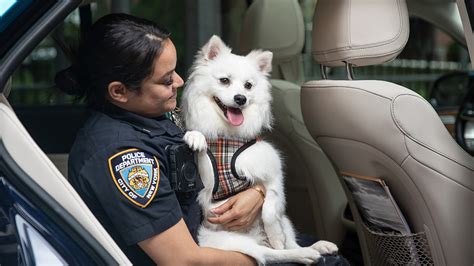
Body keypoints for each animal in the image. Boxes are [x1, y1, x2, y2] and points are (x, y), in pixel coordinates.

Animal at [181, 34, 336, 264]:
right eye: (224, 81)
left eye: (248, 86)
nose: (240, 98)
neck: (229, 138)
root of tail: (255, 238)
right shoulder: (206, 176)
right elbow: (200, 144)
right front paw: (195, 136)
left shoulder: (273, 179)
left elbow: (269, 209)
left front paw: (276, 236)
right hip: (227, 241)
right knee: (271, 255)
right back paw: (306, 254)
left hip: (285, 222)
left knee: (287, 243)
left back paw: (317, 246)